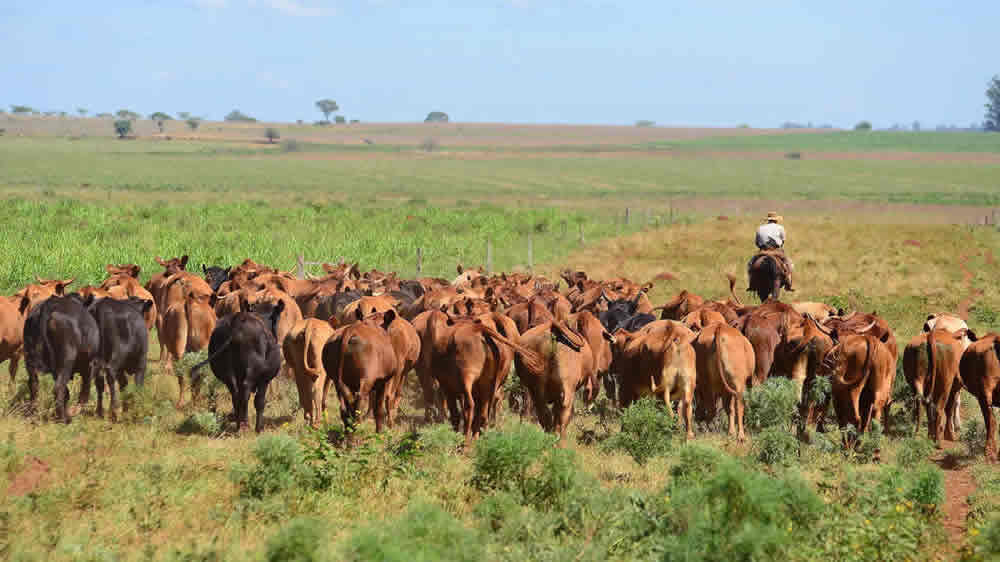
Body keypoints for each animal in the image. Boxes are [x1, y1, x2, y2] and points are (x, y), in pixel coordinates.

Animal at [189, 300, 284, 430]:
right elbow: (260, 401)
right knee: (245, 390)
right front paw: (259, 428)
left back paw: (239, 423)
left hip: (225, 370)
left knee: (235, 393)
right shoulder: (265, 379)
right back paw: (244, 425)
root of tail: (237, 321)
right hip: (251, 371)